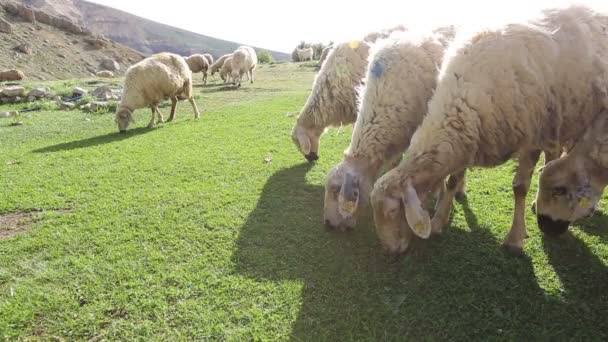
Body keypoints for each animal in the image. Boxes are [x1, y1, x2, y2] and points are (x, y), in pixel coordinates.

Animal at [368, 5, 608, 255]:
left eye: (392, 210)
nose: (391, 251)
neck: (466, 99)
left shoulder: (531, 138)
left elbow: (520, 187)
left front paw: (515, 237)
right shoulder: (471, 135)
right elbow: (453, 181)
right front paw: (438, 221)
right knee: (554, 156)